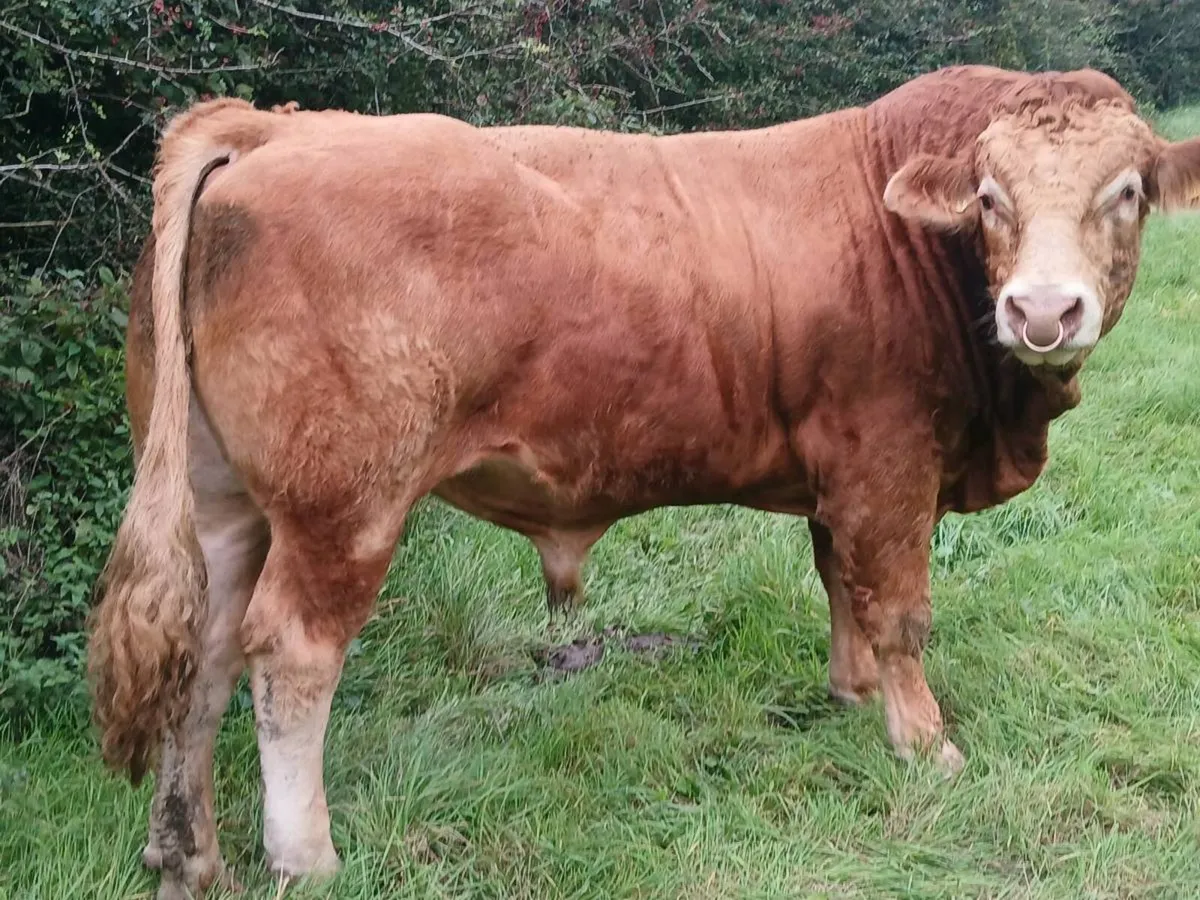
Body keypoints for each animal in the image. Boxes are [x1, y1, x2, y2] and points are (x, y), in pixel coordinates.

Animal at [87, 64, 1200, 897]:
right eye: (990, 197)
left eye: (1125, 192)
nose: (1043, 311)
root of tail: (269, 128)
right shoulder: (890, 464)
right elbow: (899, 611)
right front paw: (926, 746)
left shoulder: (841, 474)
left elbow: (839, 582)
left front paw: (850, 699)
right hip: (344, 508)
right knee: (291, 655)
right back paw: (306, 857)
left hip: (224, 501)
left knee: (204, 656)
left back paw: (188, 856)